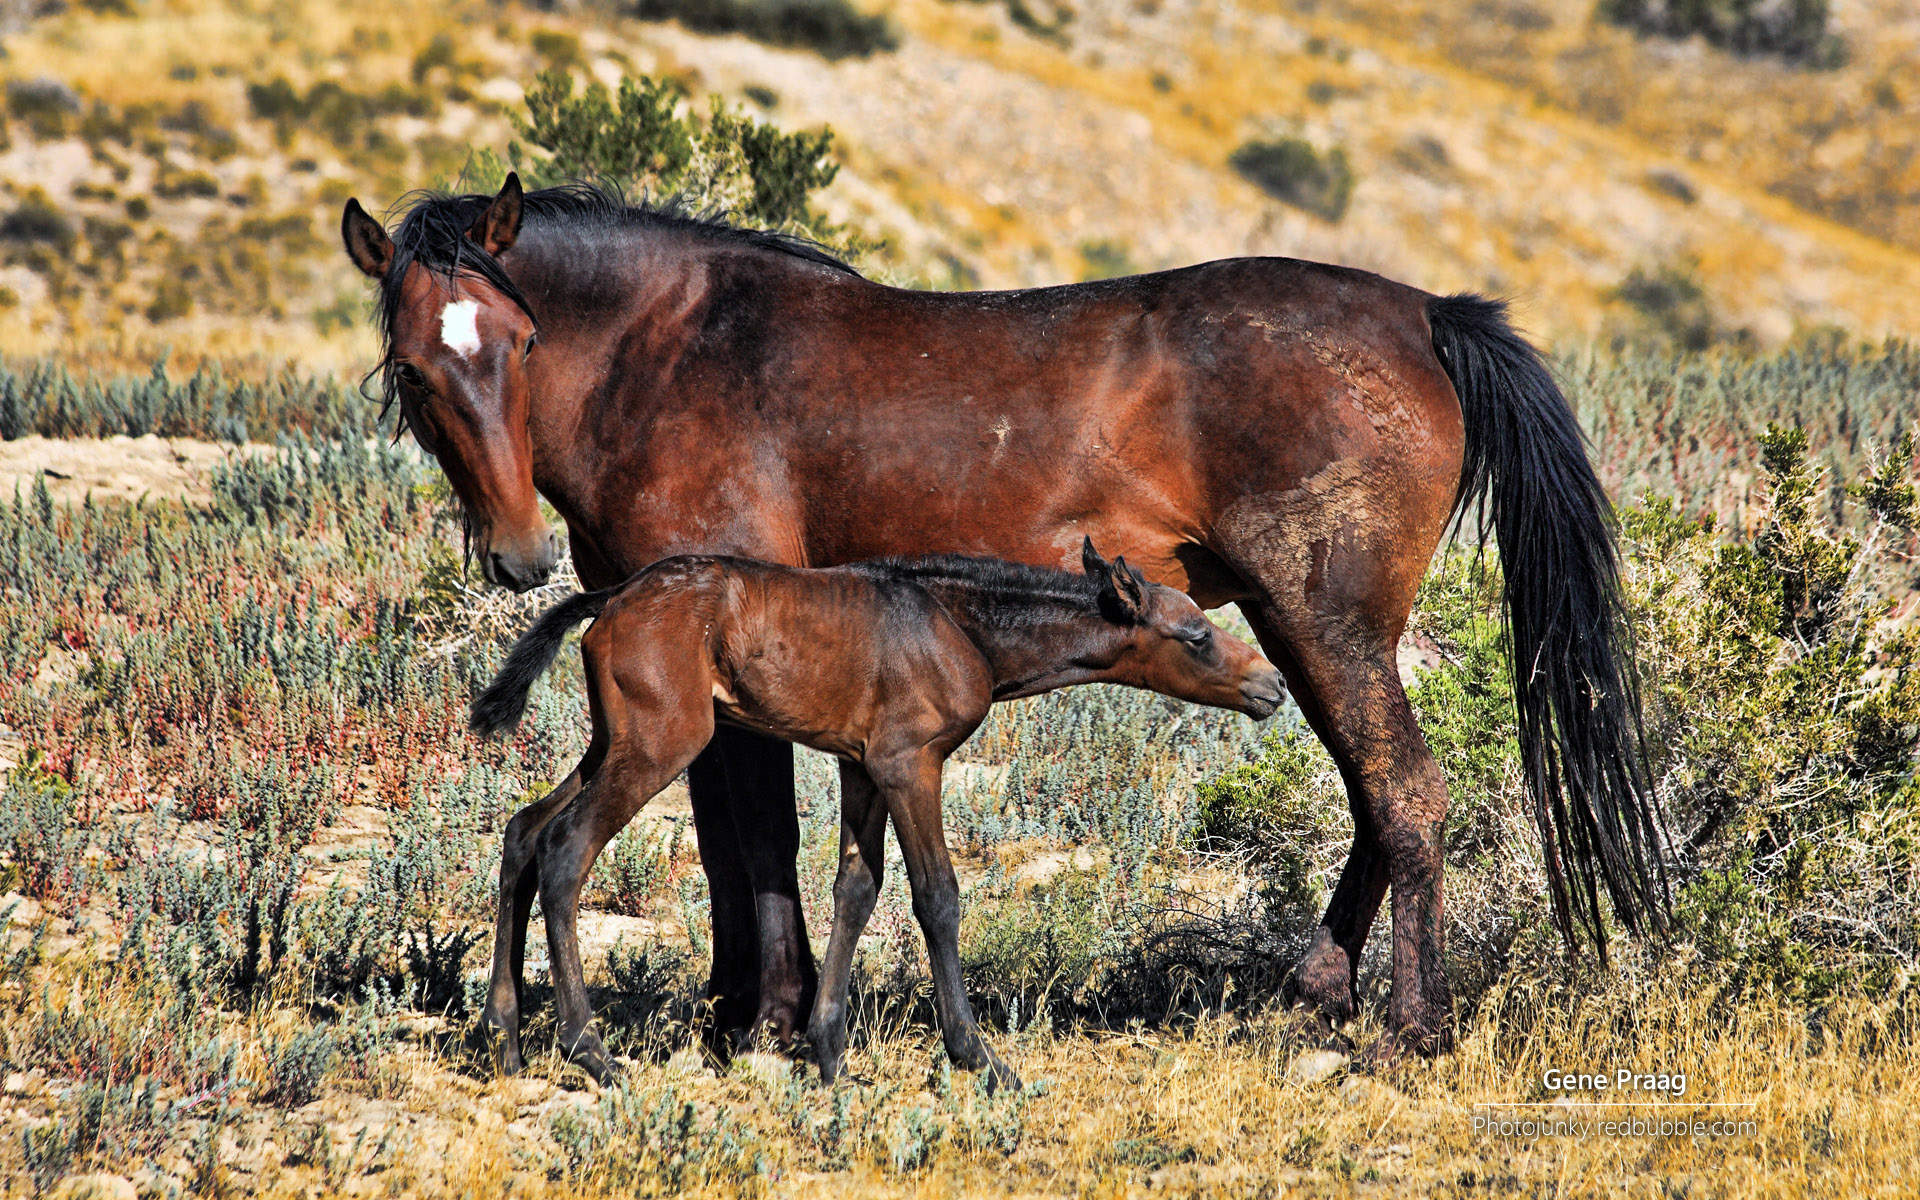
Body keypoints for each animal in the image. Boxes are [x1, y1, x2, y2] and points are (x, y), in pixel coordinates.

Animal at [467, 540, 1285, 1087]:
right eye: (1196, 636)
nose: (1272, 684)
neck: (960, 625)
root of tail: (608, 600)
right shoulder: (909, 763)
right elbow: (937, 896)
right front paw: (979, 1057)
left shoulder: (860, 765)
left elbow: (856, 889)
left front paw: (827, 1052)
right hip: (661, 742)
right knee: (565, 849)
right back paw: (589, 1051)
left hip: (614, 740)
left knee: (523, 831)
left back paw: (505, 1040)